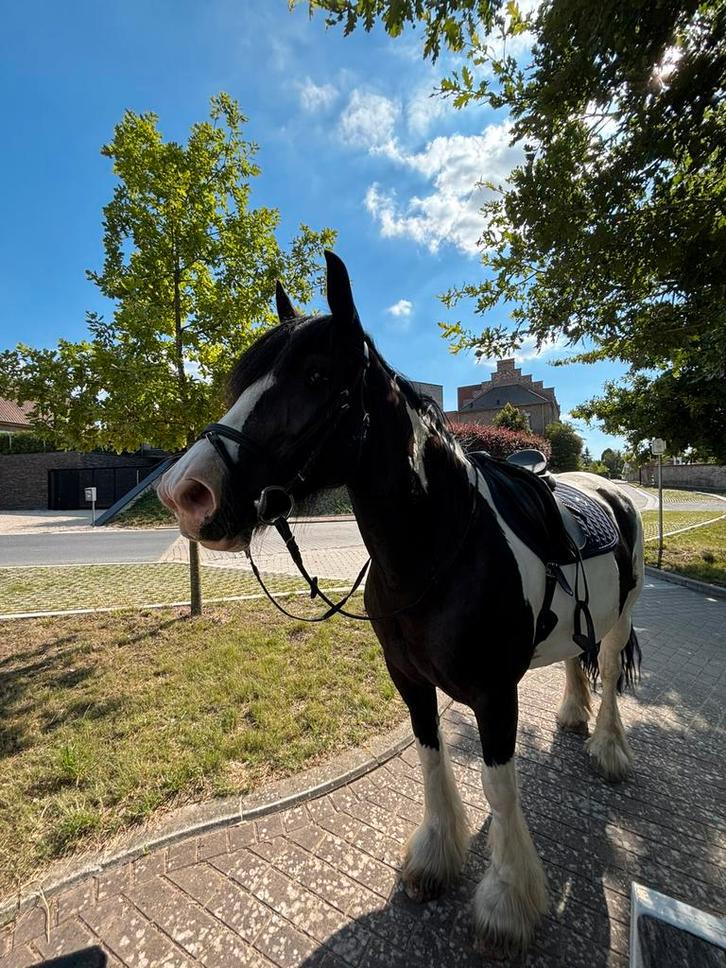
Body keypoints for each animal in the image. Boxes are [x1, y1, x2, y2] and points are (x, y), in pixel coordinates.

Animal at [157, 251, 644, 954]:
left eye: (315, 375)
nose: (185, 492)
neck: (443, 548)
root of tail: (608, 490)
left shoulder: (496, 694)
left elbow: (499, 785)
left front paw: (506, 904)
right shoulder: (409, 680)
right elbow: (430, 754)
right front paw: (437, 857)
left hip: (621, 619)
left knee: (605, 669)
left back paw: (607, 749)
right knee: (577, 664)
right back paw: (573, 717)